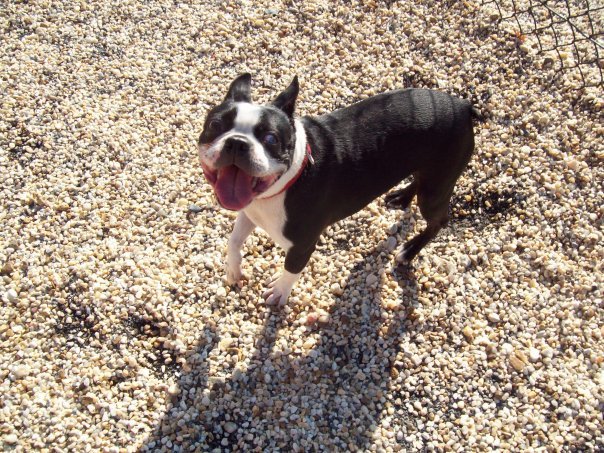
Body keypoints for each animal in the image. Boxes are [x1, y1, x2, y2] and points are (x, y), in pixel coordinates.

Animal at [199, 74, 476, 306]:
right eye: (215, 125)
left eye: (271, 139)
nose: (237, 142)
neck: (290, 179)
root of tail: (464, 107)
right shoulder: (250, 211)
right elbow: (233, 241)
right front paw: (233, 270)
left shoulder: (301, 246)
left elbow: (291, 269)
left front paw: (279, 291)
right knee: (418, 181)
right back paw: (401, 197)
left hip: (436, 187)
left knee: (438, 220)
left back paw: (410, 250)